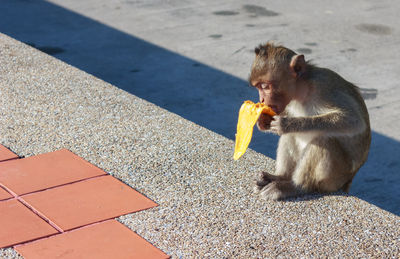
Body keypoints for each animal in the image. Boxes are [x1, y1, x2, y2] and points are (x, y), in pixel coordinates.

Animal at [250, 42, 372, 201]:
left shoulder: (324, 87)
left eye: (265, 86)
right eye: (258, 87)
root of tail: (348, 180)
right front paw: (263, 120)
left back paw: (294, 186)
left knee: (324, 141)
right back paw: (279, 177)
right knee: (291, 136)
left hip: (335, 178)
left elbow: (354, 120)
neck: (302, 90)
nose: (262, 100)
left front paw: (288, 124)